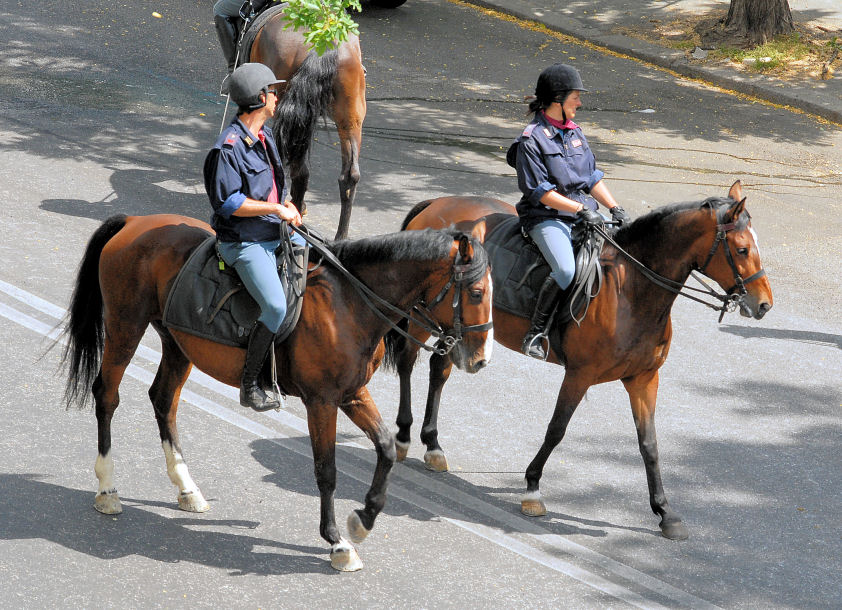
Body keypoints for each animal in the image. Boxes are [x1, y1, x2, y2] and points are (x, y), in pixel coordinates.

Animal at [60, 211, 492, 568]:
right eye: (476, 293)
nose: (480, 359)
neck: (350, 302)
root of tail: (135, 221)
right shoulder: (322, 401)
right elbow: (326, 470)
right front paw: (337, 542)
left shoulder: (352, 394)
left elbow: (385, 448)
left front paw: (363, 520)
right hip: (125, 327)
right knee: (107, 396)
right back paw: (107, 489)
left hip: (178, 344)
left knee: (164, 401)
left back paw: (187, 489)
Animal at [384, 179, 772, 536]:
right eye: (741, 249)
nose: (764, 304)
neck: (630, 290)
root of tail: (438, 203)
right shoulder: (580, 374)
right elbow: (557, 429)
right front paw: (533, 488)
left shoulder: (644, 378)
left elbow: (649, 444)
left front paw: (665, 512)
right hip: (421, 315)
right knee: (406, 362)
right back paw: (403, 436)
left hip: (456, 326)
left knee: (439, 369)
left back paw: (433, 445)